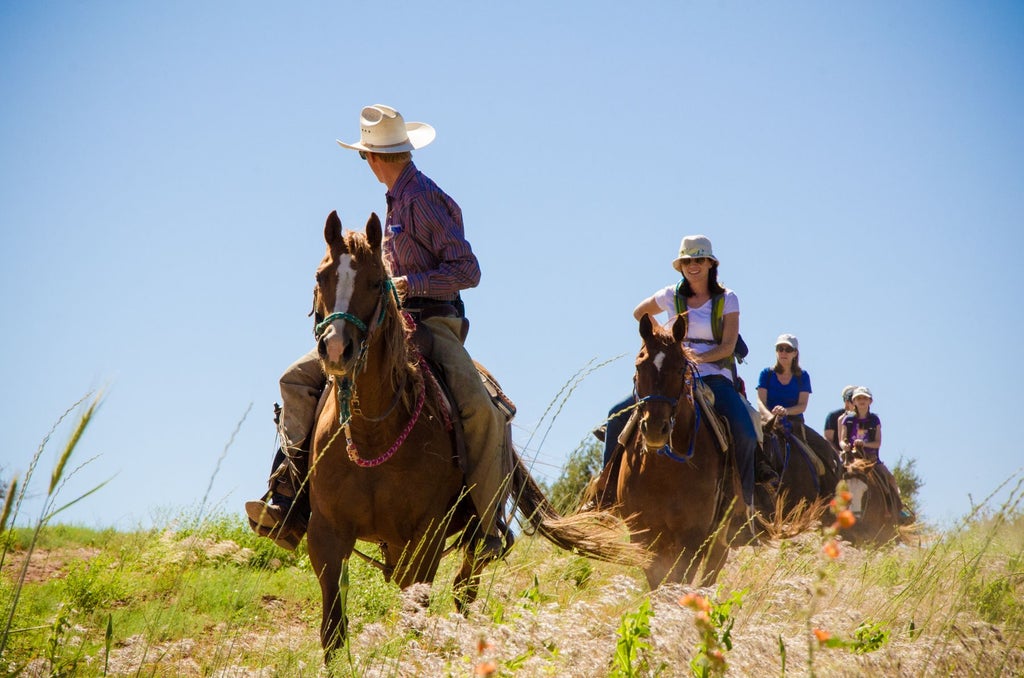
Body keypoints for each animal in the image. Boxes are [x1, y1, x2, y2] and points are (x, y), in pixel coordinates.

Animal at [303, 213, 643, 663]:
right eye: (320, 276)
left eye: (377, 282)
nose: (337, 348)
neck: (373, 430)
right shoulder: (326, 536)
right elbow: (333, 631)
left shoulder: (426, 537)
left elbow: (415, 613)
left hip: (472, 536)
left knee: (464, 588)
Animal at [606, 313, 745, 589]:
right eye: (639, 366)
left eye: (681, 368)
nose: (654, 429)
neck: (663, 472)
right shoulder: (643, 535)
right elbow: (657, 581)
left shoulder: (692, 538)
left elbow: (678, 581)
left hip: (719, 542)